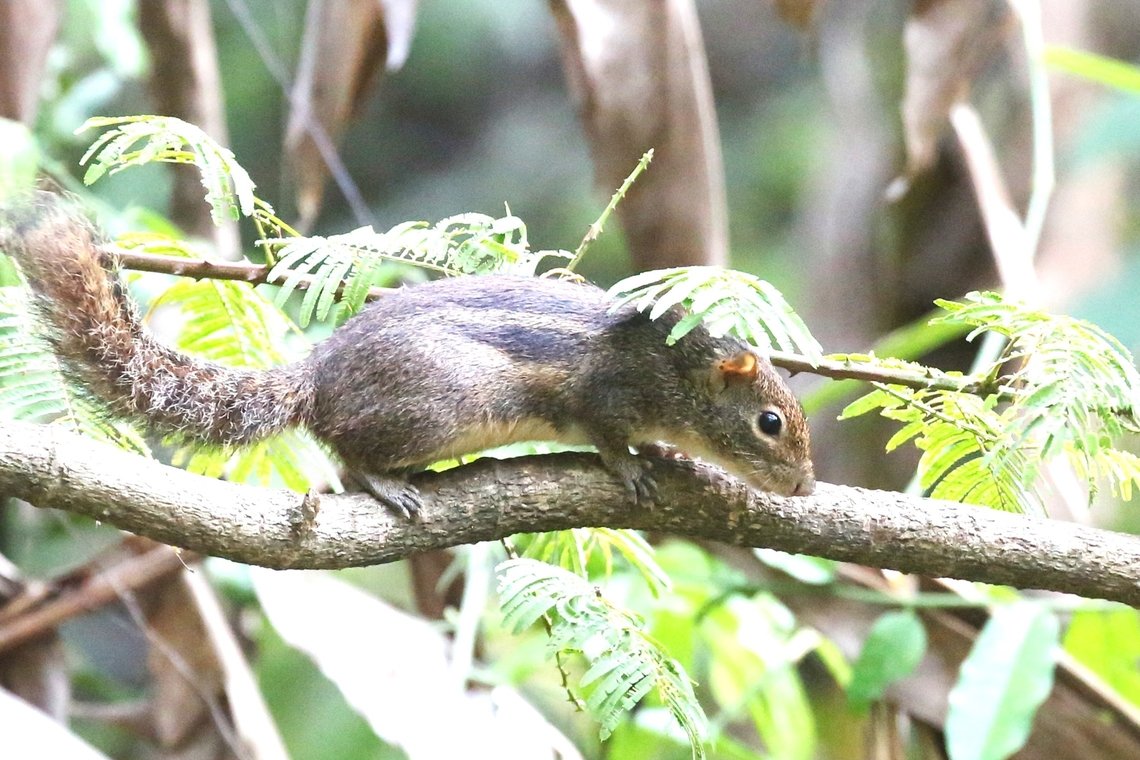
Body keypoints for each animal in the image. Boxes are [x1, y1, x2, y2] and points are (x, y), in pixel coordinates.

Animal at [1, 193, 815, 515]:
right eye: (770, 423)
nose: (807, 489)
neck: (674, 369)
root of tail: (317, 376)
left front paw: (669, 454)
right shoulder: (607, 392)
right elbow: (606, 434)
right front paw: (631, 466)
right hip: (438, 407)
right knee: (345, 453)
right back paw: (386, 484)